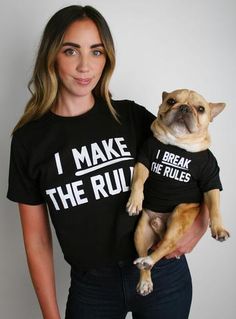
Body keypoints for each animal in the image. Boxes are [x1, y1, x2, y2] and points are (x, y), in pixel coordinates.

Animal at [126, 89, 230, 296]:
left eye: (201, 109)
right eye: (171, 101)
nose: (183, 108)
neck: (178, 145)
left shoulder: (210, 178)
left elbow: (215, 206)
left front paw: (218, 228)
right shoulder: (144, 160)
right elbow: (139, 181)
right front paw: (135, 201)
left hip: (181, 213)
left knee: (168, 244)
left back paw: (151, 255)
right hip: (140, 232)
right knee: (150, 254)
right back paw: (145, 278)